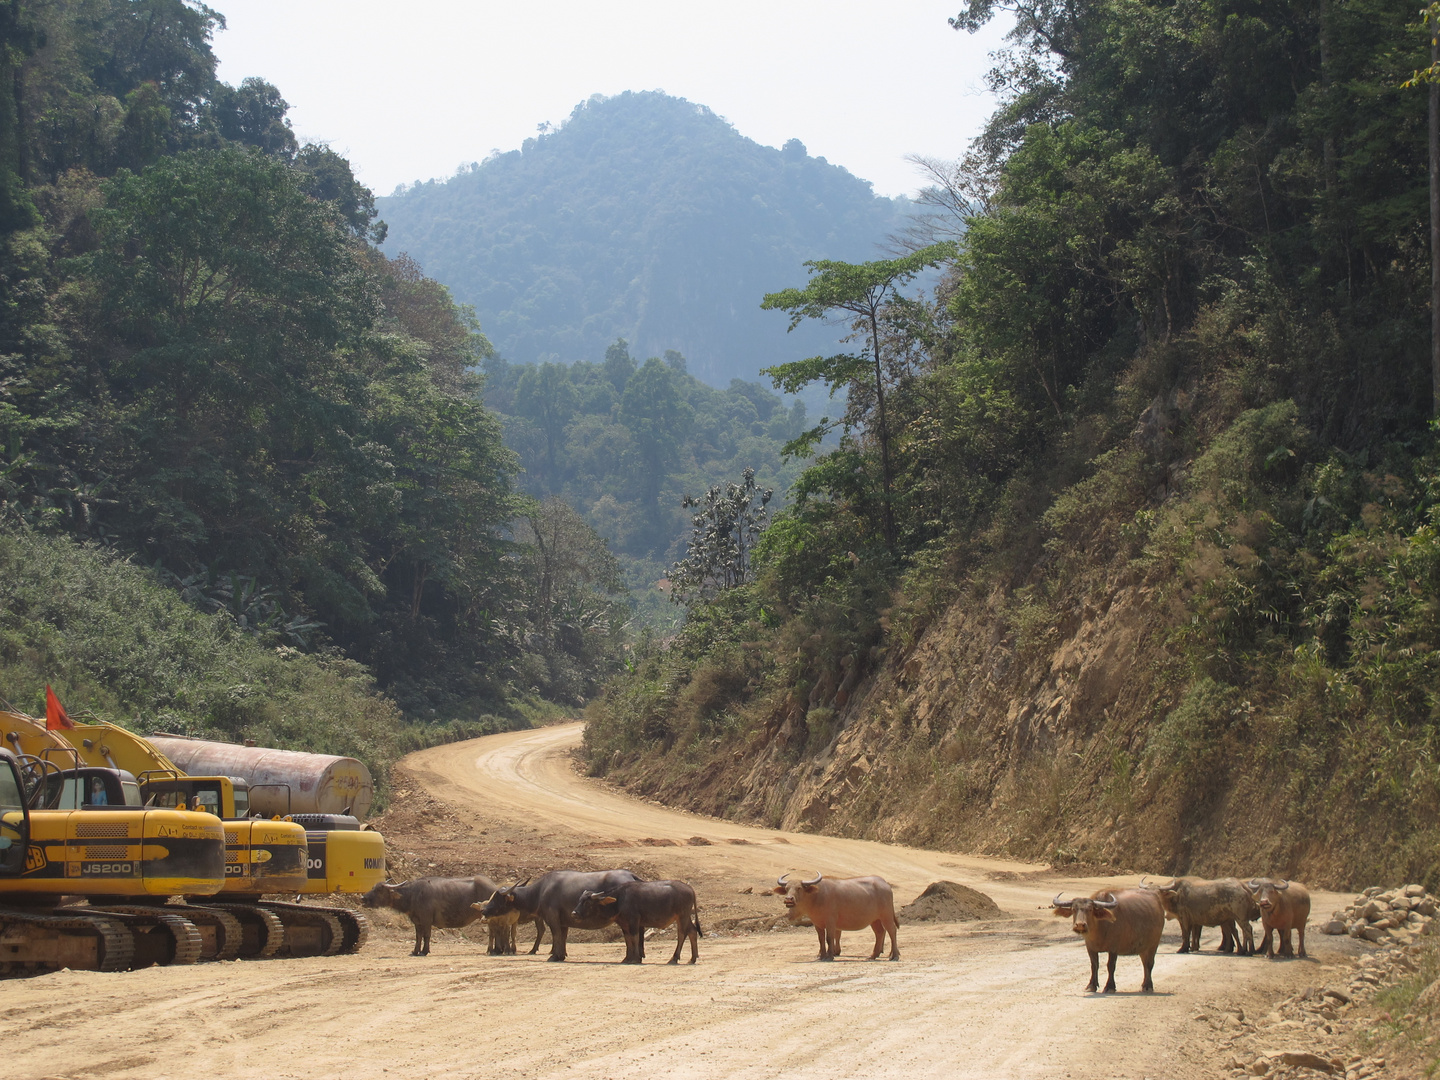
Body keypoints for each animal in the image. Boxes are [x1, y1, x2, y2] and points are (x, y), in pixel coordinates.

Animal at [360, 875, 535, 961]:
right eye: (373, 887)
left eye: (379, 889)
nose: (363, 898)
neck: (413, 895)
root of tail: (495, 888)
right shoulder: (417, 921)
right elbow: (417, 936)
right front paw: (415, 951)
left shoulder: (426, 920)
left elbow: (426, 936)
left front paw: (424, 951)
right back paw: (496, 950)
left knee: (496, 931)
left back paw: (497, 950)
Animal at [480, 869, 639, 961]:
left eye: (497, 897)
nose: (484, 910)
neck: (540, 892)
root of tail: (630, 875)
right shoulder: (564, 922)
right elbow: (562, 937)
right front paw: (561, 955)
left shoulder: (552, 918)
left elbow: (556, 935)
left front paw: (554, 956)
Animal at [570, 881, 699, 967]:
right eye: (580, 900)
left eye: (587, 902)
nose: (574, 913)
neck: (620, 899)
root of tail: (690, 888)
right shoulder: (624, 924)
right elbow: (628, 940)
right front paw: (627, 958)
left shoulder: (634, 921)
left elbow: (635, 938)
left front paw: (635, 958)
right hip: (685, 917)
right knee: (692, 931)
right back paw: (692, 958)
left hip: (682, 916)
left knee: (682, 934)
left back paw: (674, 958)